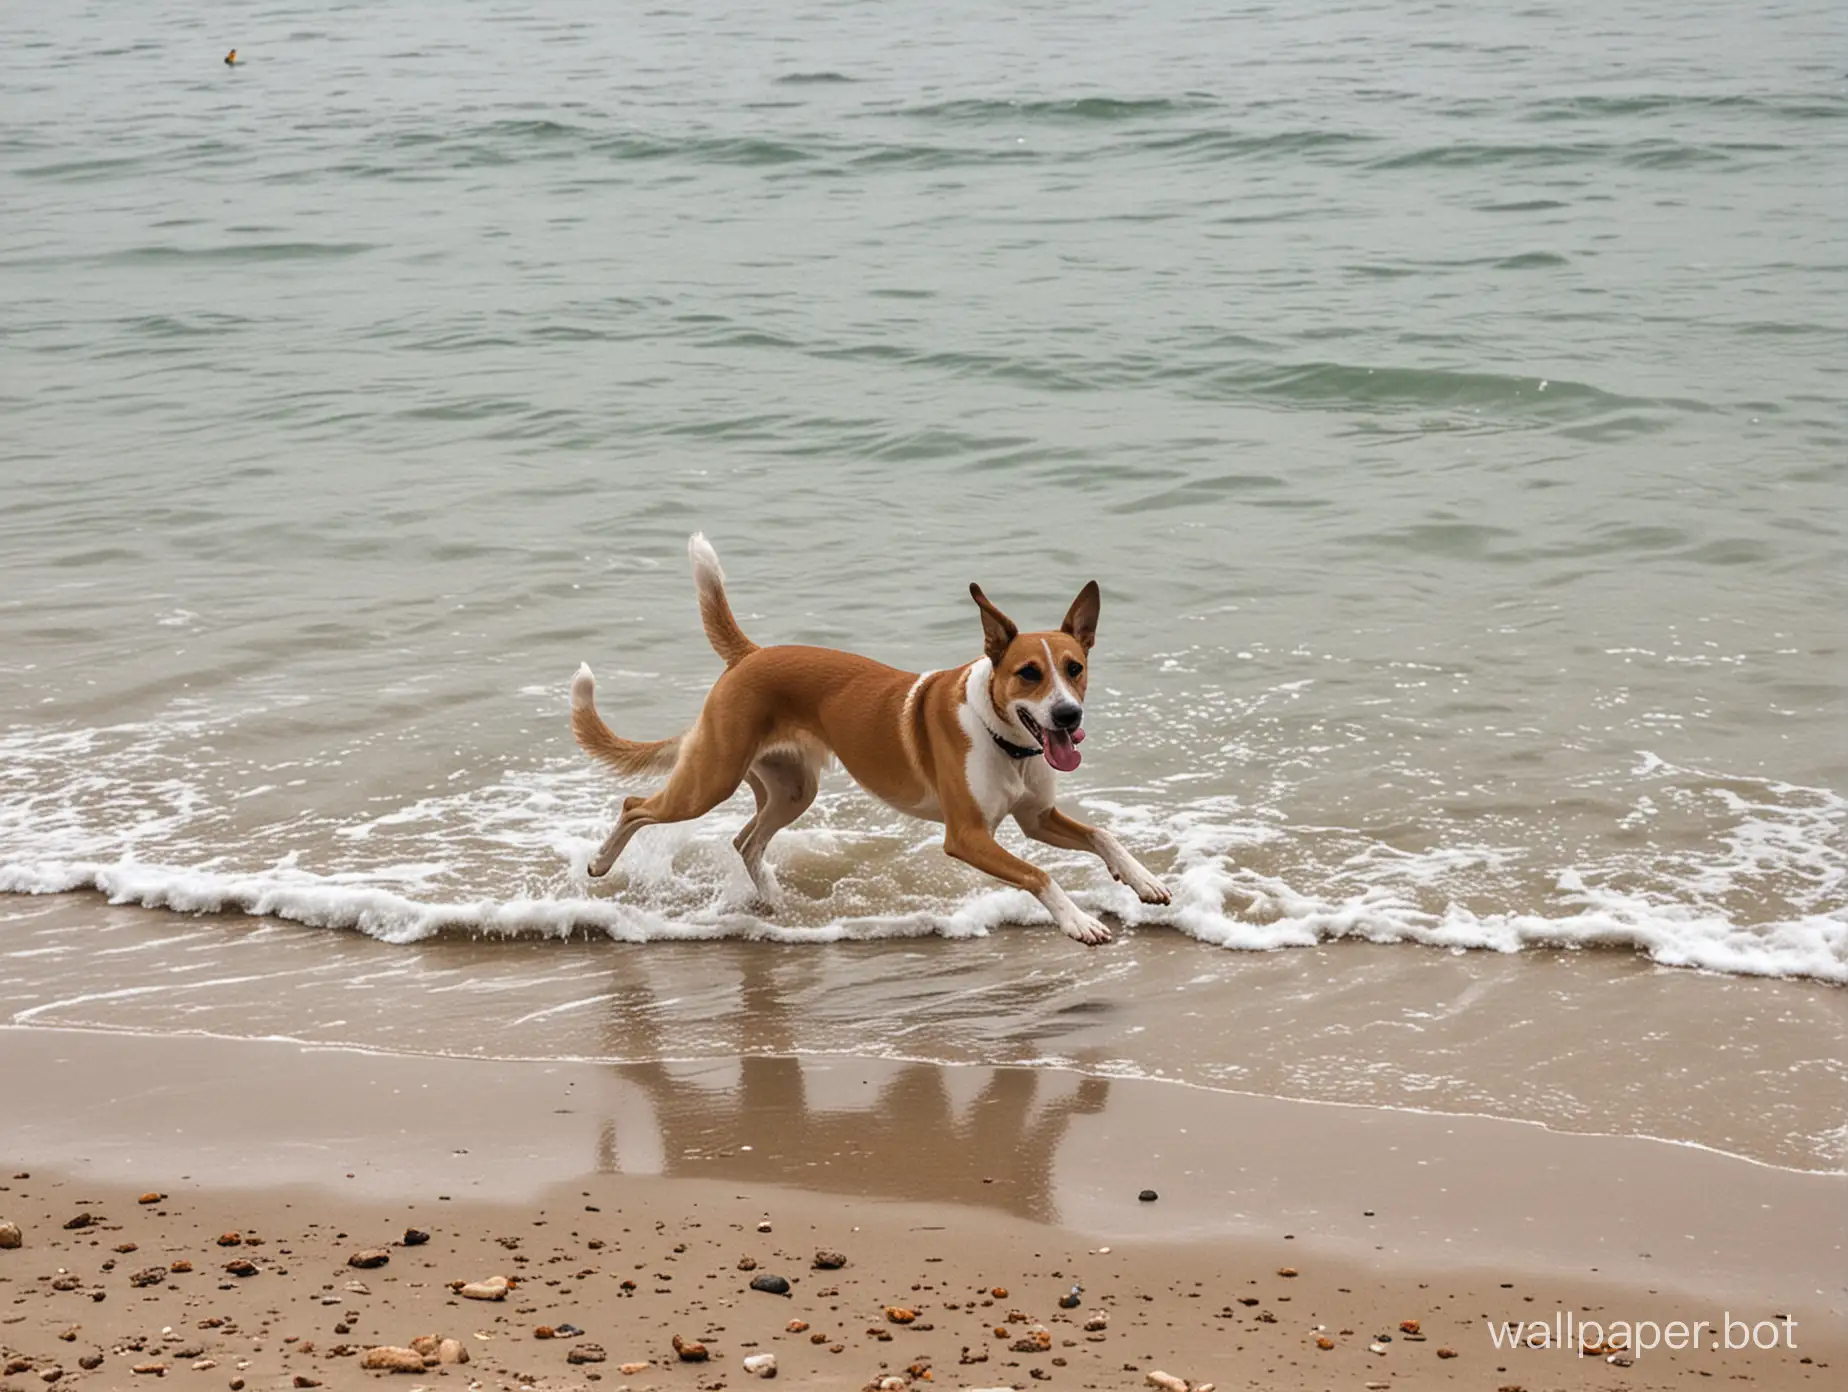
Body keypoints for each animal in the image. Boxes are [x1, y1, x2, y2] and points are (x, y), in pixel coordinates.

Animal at [565, 532, 1167, 946]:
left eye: (1074, 667)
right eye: (1028, 674)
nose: (1068, 715)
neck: (1003, 737)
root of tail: (750, 654)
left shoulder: (1036, 819)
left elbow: (1103, 834)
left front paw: (1142, 880)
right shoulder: (968, 837)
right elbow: (1038, 873)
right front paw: (1079, 921)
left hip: (792, 789)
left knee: (746, 842)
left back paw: (779, 906)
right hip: (710, 779)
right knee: (636, 805)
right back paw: (599, 864)